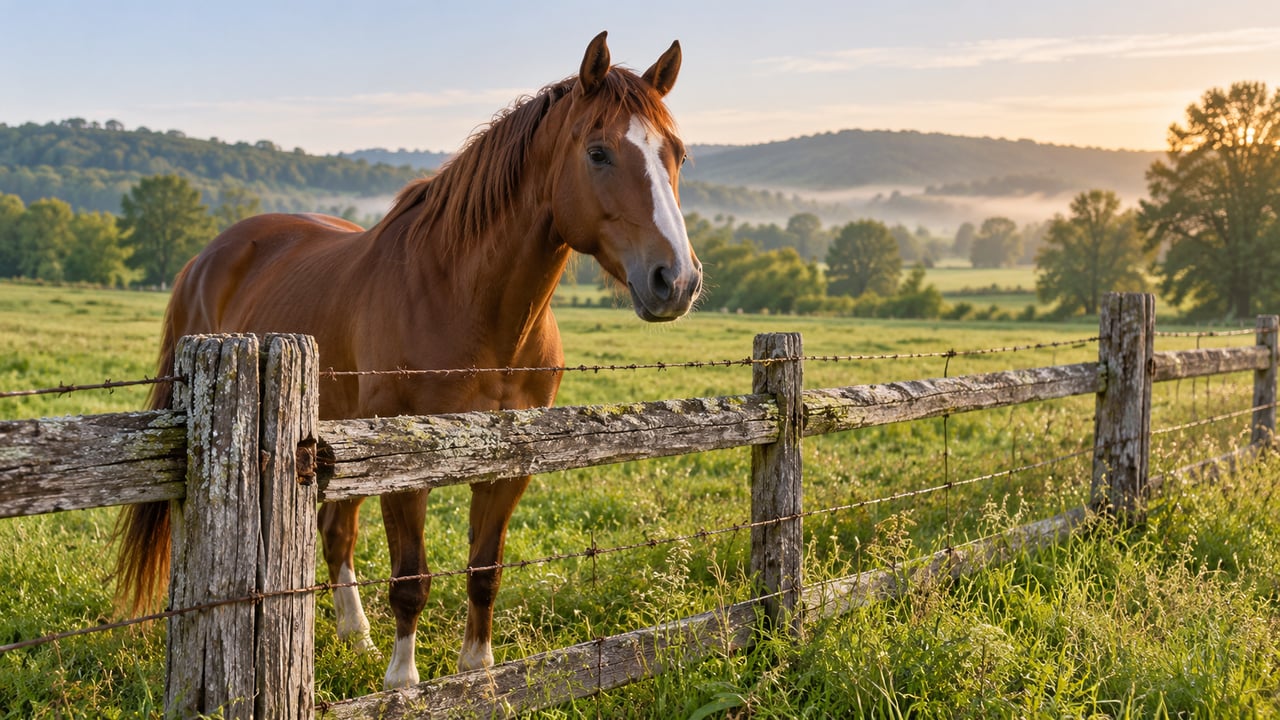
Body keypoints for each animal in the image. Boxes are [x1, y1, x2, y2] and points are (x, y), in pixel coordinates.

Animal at [113, 31, 700, 690]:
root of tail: (209, 256)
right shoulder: (403, 461)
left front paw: (478, 673)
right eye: (599, 153)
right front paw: (403, 683)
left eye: (677, 153)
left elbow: (484, 571)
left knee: (337, 533)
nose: (676, 280)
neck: (467, 302)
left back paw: (356, 634)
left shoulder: (511, 461)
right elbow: (412, 580)